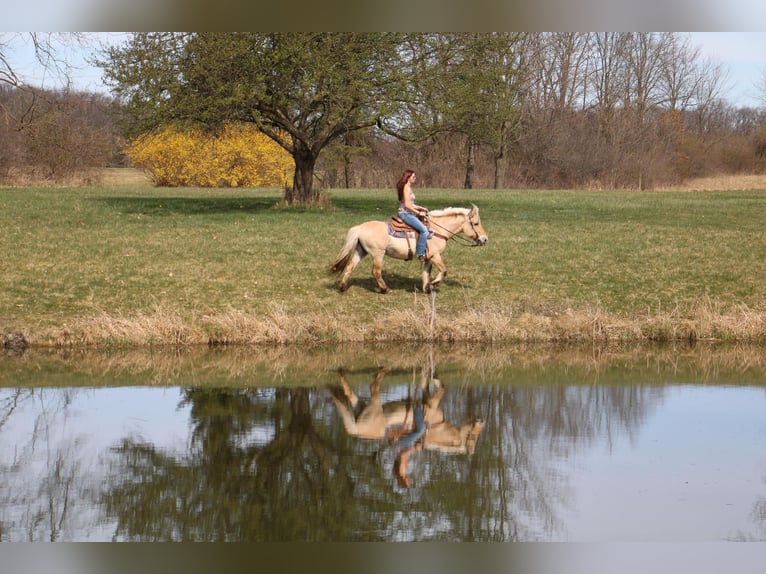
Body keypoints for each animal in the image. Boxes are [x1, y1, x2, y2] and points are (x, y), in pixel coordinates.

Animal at [328, 205, 486, 294]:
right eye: (476, 223)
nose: (485, 239)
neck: (436, 230)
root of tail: (360, 227)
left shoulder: (428, 258)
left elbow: (426, 274)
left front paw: (427, 288)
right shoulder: (435, 256)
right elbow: (443, 271)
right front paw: (434, 284)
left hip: (361, 251)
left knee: (350, 266)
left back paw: (342, 288)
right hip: (378, 254)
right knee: (376, 272)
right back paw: (385, 289)